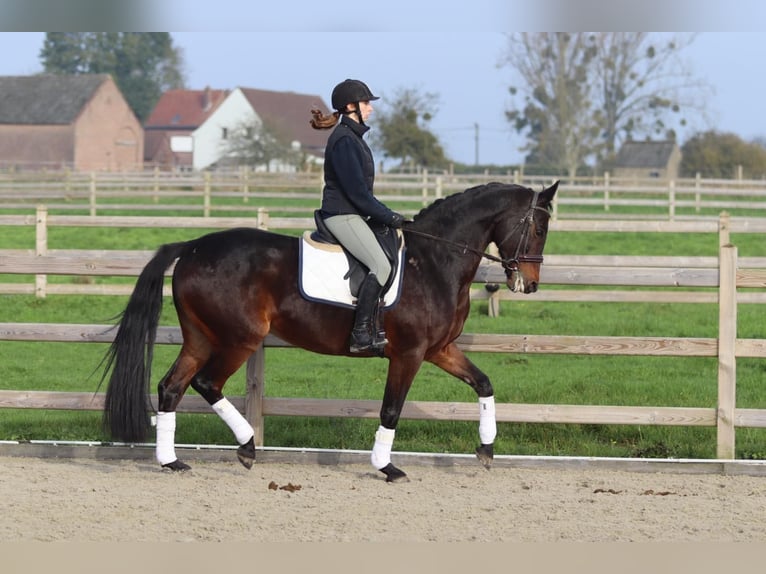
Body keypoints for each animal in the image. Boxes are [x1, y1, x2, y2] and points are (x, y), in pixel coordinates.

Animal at [100, 180, 560, 482]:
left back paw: (171, 461)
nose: (531, 283)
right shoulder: (409, 354)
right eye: (538, 229)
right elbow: (391, 409)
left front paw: (486, 449)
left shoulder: (439, 349)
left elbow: (483, 383)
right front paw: (386, 467)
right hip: (239, 339)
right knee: (206, 383)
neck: (433, 261)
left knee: (171, 387)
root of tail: (193, 247)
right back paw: (247, 447)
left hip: (201, 338)